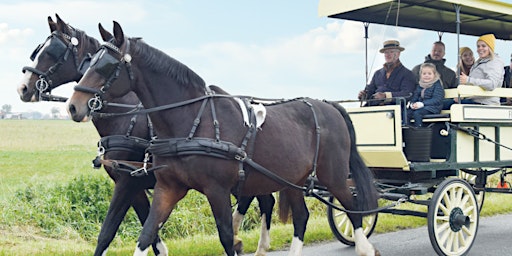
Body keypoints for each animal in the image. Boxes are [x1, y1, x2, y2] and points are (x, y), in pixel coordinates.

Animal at [18, 14, 276, 256]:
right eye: (37, 52)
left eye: (51, 53)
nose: (23, 88)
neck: (126, 115)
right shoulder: (134, 181)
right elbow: (146, 224)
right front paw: (161, 249)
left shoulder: (128, 181)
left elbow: (107, 231)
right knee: (262, 199)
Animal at [67, 22, 380, 256]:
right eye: (89, 62)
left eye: (106, 66)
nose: (73, 106)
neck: (192, 120)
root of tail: (330, 105)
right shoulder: (166, 188)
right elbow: (145, 236)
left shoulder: (215, 190)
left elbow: (227, 238)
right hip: (291, 179)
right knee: (301, 217)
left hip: (333, 175)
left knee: (352, 206)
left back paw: (364, 246)